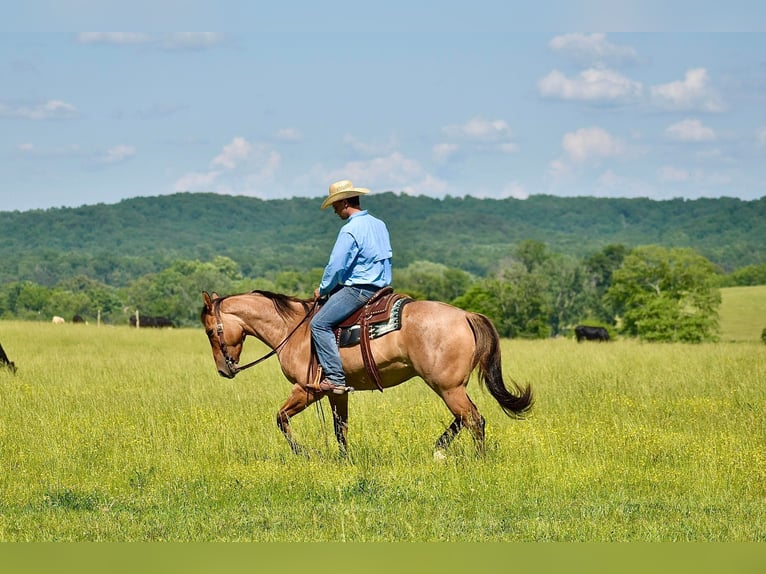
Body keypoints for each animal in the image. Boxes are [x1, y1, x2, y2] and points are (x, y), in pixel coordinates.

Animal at [200, 290, 536, 456]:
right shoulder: (335, 392)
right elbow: (340, 428)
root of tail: (465, 315)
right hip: (449, 386)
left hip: (447, 387)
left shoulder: (306, 390)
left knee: (474, 420)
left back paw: (477, 459)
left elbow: (281, 419)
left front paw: (305, 453)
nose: (223, 370)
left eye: (210, 331)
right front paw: (344, 460)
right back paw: (438, 450)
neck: (293, 329)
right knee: (465, 418)